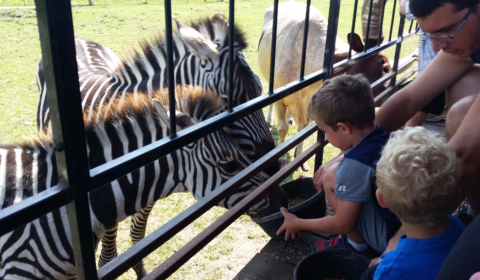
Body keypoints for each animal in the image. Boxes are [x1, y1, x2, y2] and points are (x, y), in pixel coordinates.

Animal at [34, 13, 282, 278]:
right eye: (227, 101)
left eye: (260, 88)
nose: (273, 164)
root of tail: (79, 39)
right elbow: (110, 251)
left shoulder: (152, 183)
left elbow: (138, 234)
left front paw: (141, 271)